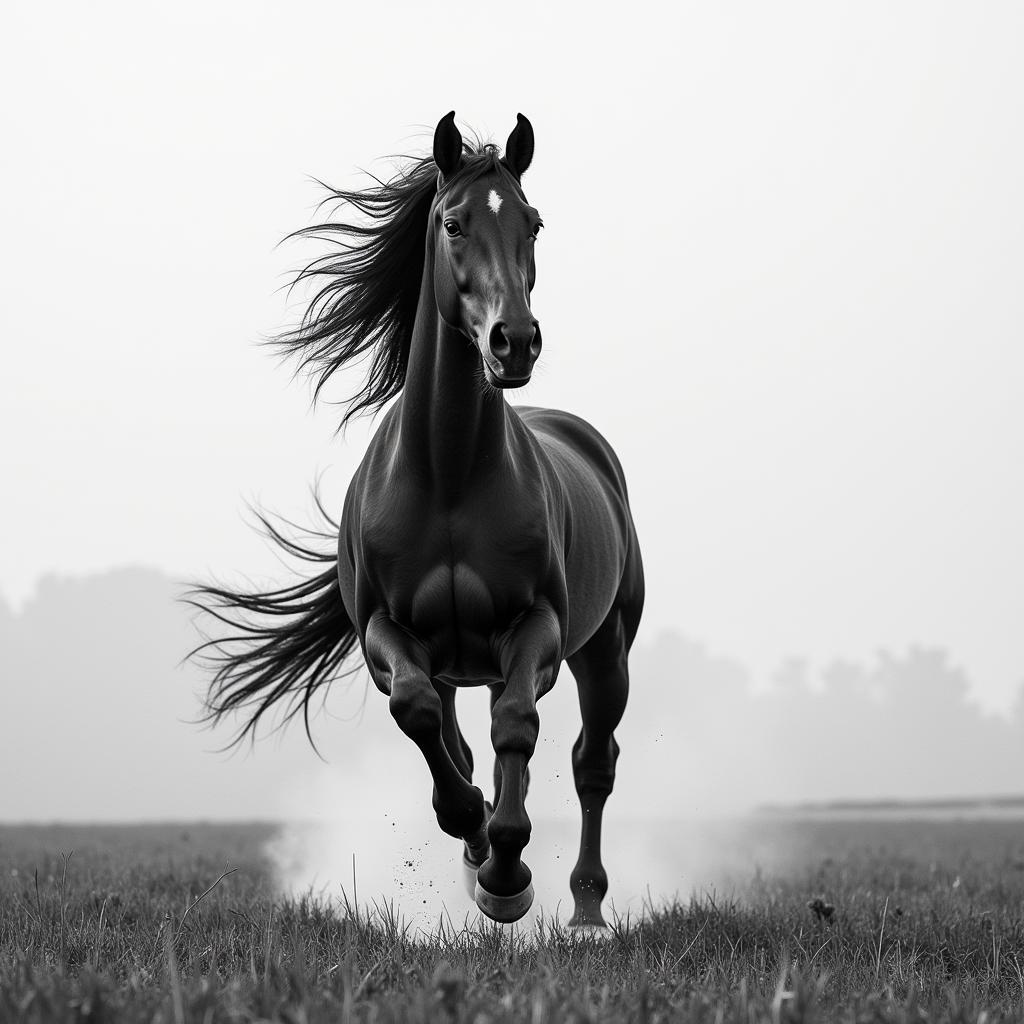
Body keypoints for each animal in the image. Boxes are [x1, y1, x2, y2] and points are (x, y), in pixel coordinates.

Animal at [194, 114, 643, 929]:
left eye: (533, 222)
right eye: (454, 222)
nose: (515, 341)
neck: (450, 477)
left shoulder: (540, 627)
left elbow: (518, 728)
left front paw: (507, 876)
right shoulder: (389, 635)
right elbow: (423, 719)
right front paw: (478, 840)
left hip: (607, 649)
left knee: (591, 764)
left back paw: (586, 910)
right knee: (469, 738)